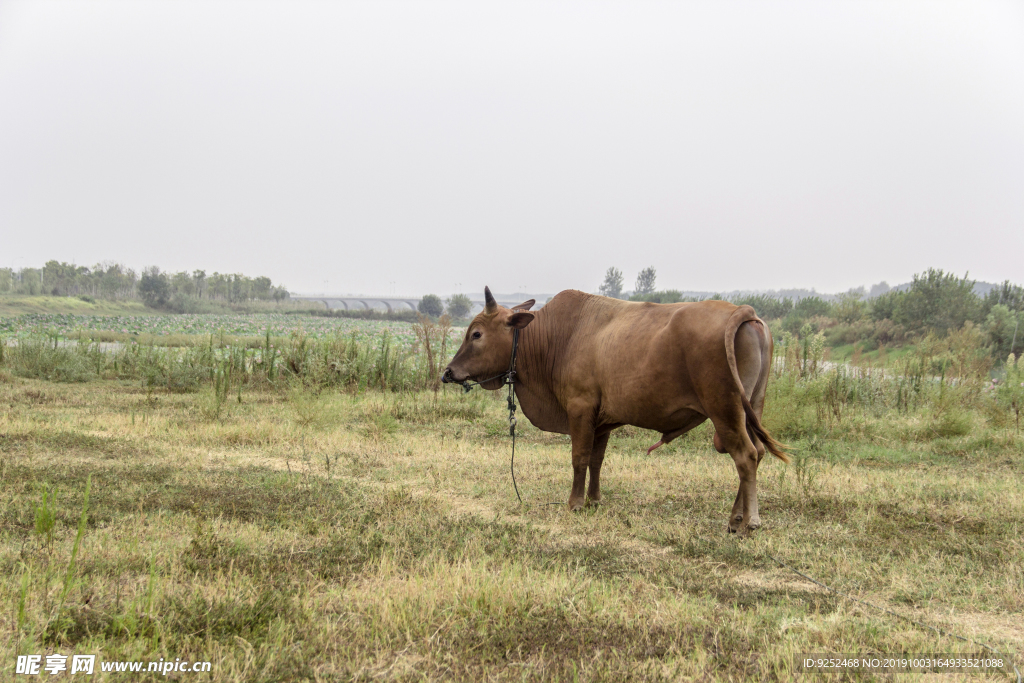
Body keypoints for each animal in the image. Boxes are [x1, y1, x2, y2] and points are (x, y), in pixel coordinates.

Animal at [442, 286, 790, 536]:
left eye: (476, 334)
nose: (448, 372)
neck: (556, 337)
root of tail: (741, 310)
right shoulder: (603, 421)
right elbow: (597, 461)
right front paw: (594, 500)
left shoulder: (580, 409)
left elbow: (580, 458)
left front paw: (575, 503)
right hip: (750, 409)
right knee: (757, 453)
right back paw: (738, 518)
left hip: (725, 412)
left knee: (745, 457)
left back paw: (746, 522)